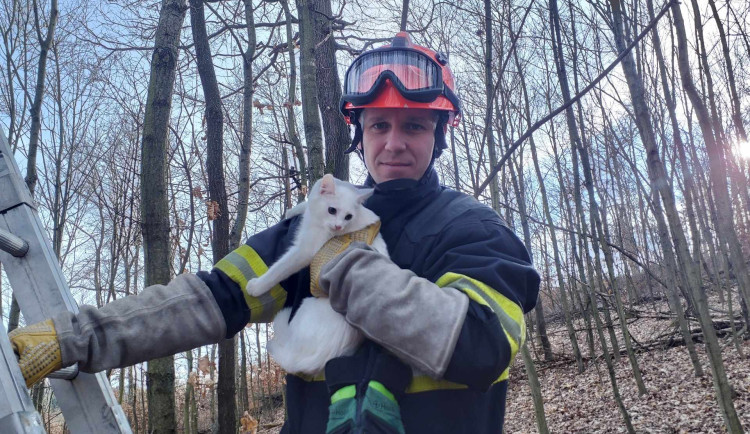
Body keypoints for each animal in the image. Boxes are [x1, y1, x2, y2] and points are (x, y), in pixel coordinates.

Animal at [247, 175, 390, 374]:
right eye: (332, 210)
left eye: (348, 216)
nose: (338, 226)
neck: (317, 220)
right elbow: (306, 203)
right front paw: (293, 211)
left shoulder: (304, 252)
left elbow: (279, 269)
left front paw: (256, 286)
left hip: (303, 308)